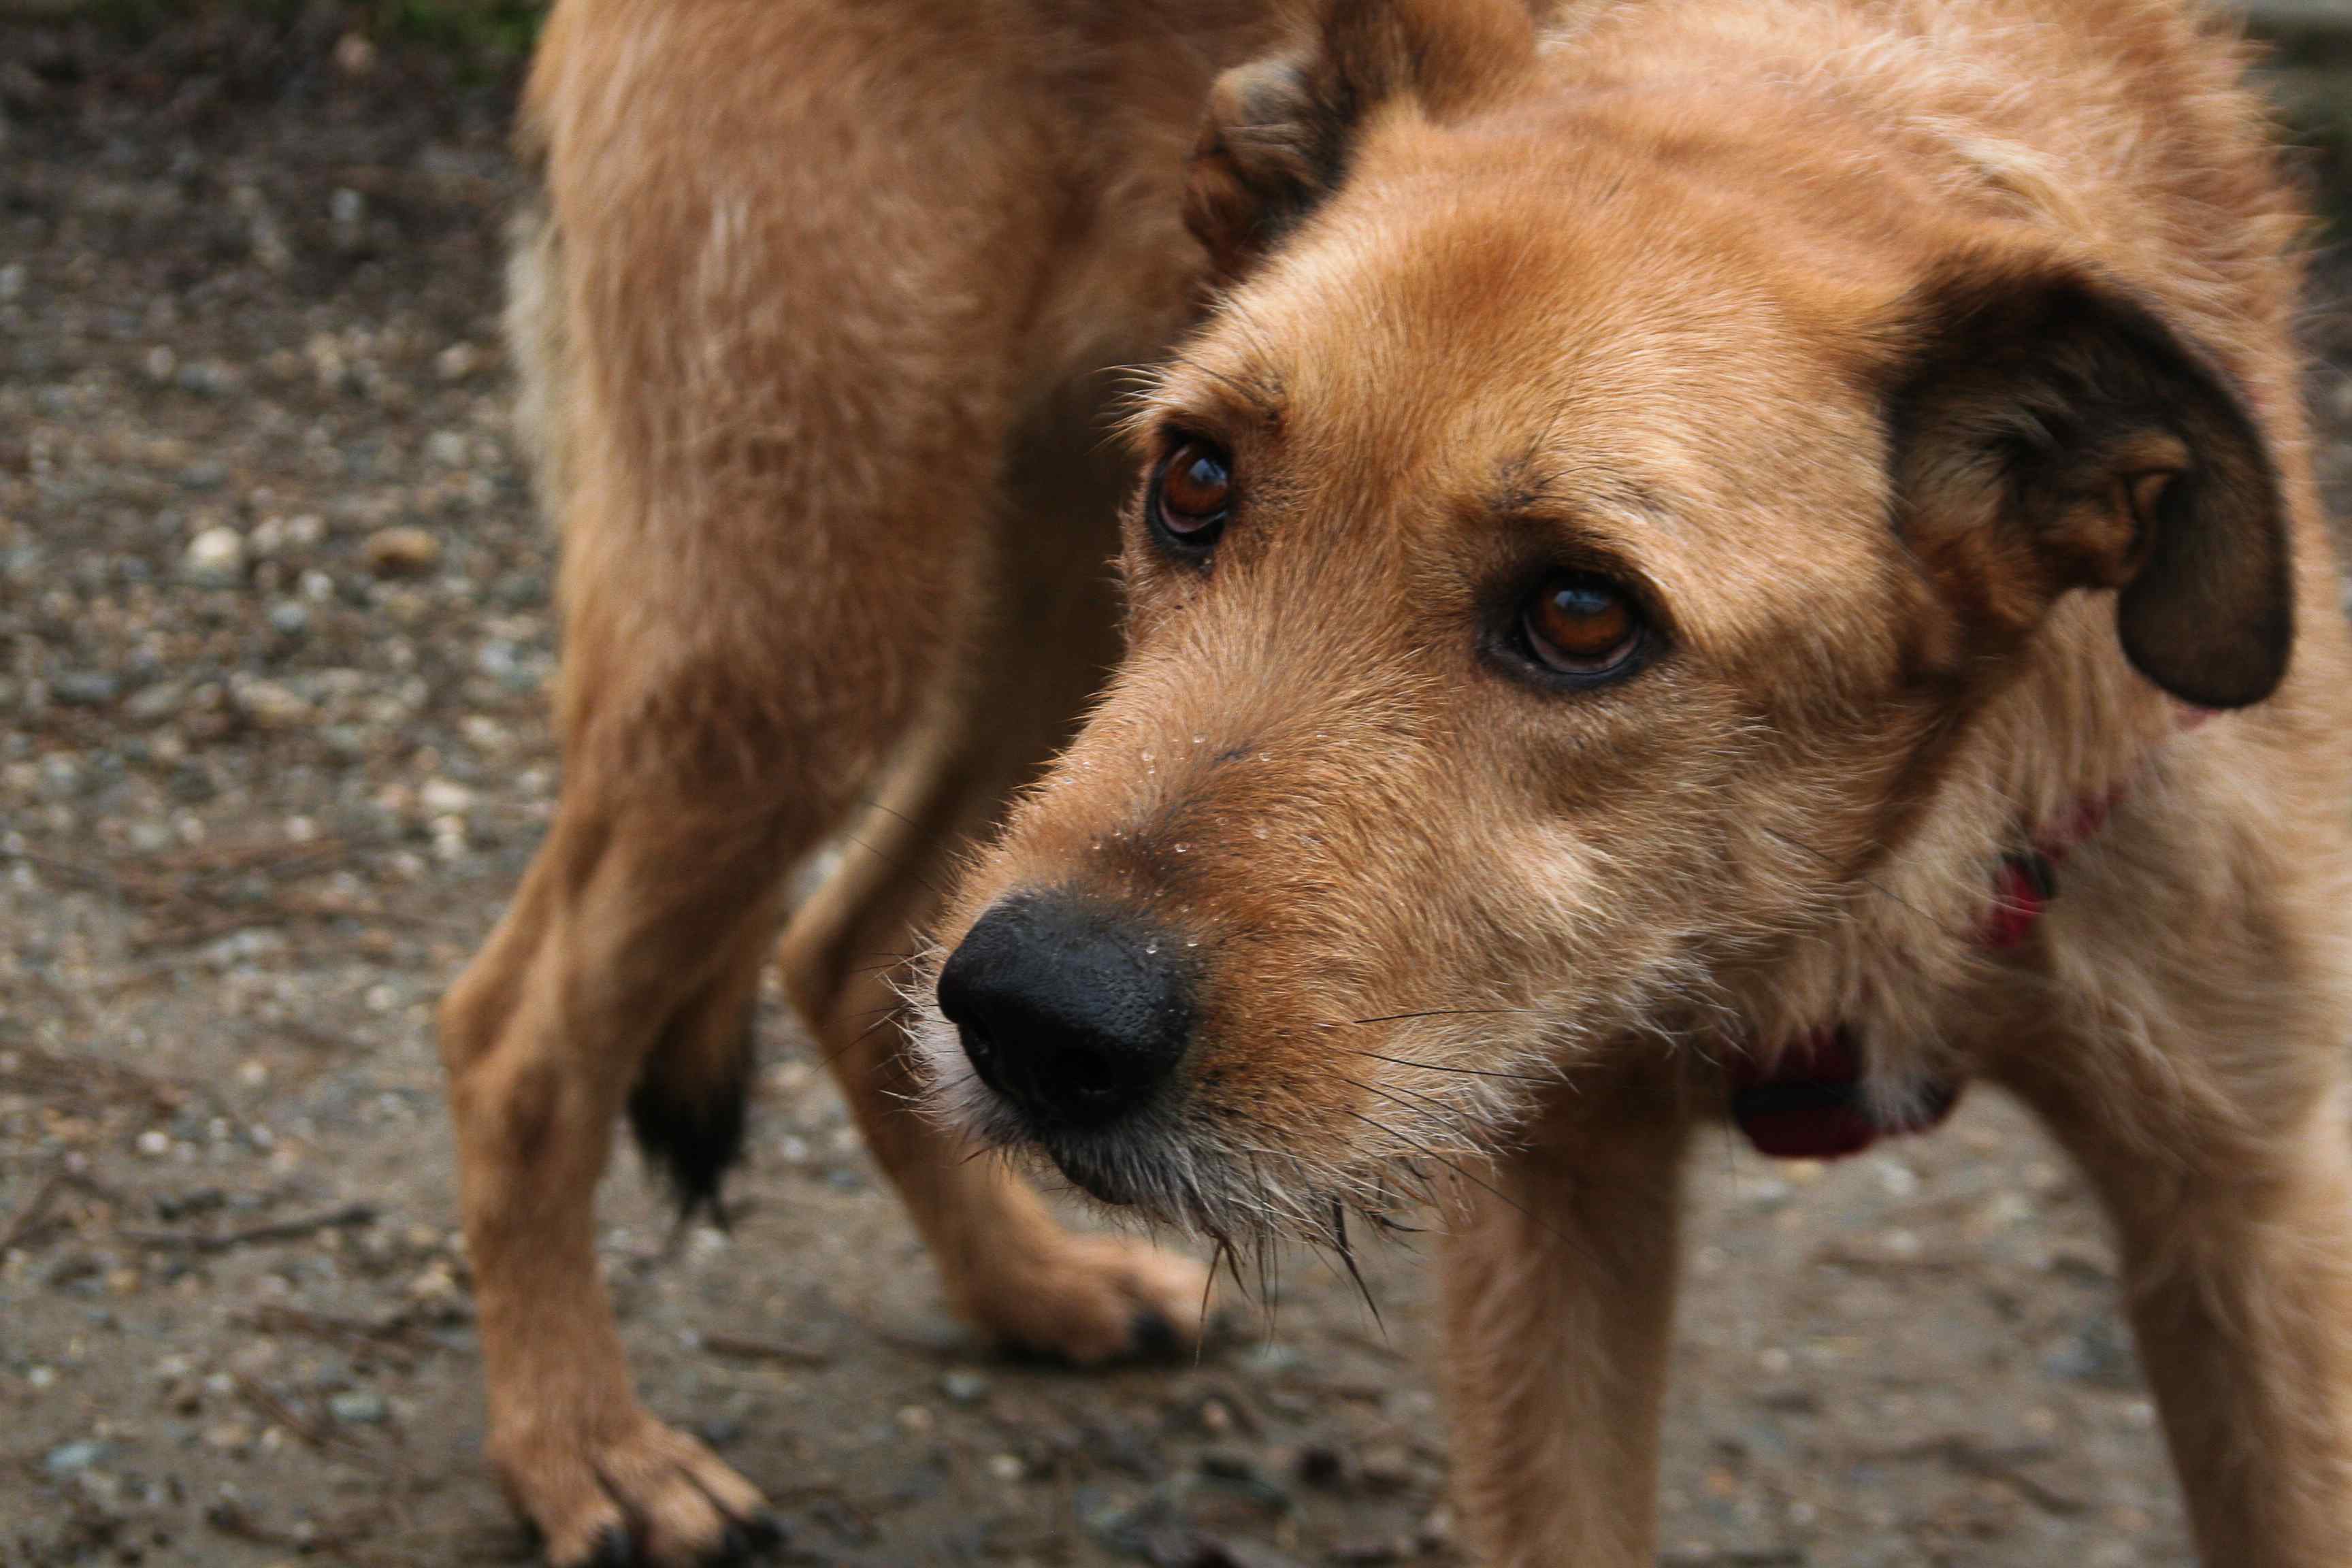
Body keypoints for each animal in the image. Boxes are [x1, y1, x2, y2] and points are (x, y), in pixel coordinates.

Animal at [444, 0, 2352, 1561]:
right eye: (1199, 481)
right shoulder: (1554, 1210)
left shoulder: (2246, 1215)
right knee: (516, 1031)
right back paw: (589, 1452)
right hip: (801, 620)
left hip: (1025, 642)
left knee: (842, 954)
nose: (1037, 1022)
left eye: (1582, 615)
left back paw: (1033, 1285)